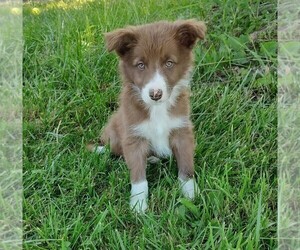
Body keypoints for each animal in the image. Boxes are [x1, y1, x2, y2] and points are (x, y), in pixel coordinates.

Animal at [92, 19, 207, 213]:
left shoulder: (182, 131)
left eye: (169, 63)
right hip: (113, 131)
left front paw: (191, 194)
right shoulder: (133, 136)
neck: (157, 109)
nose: (155, 94)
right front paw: (138, 205)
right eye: (140, 65)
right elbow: (138, 177)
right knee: (116, 150)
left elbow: (186, 167)